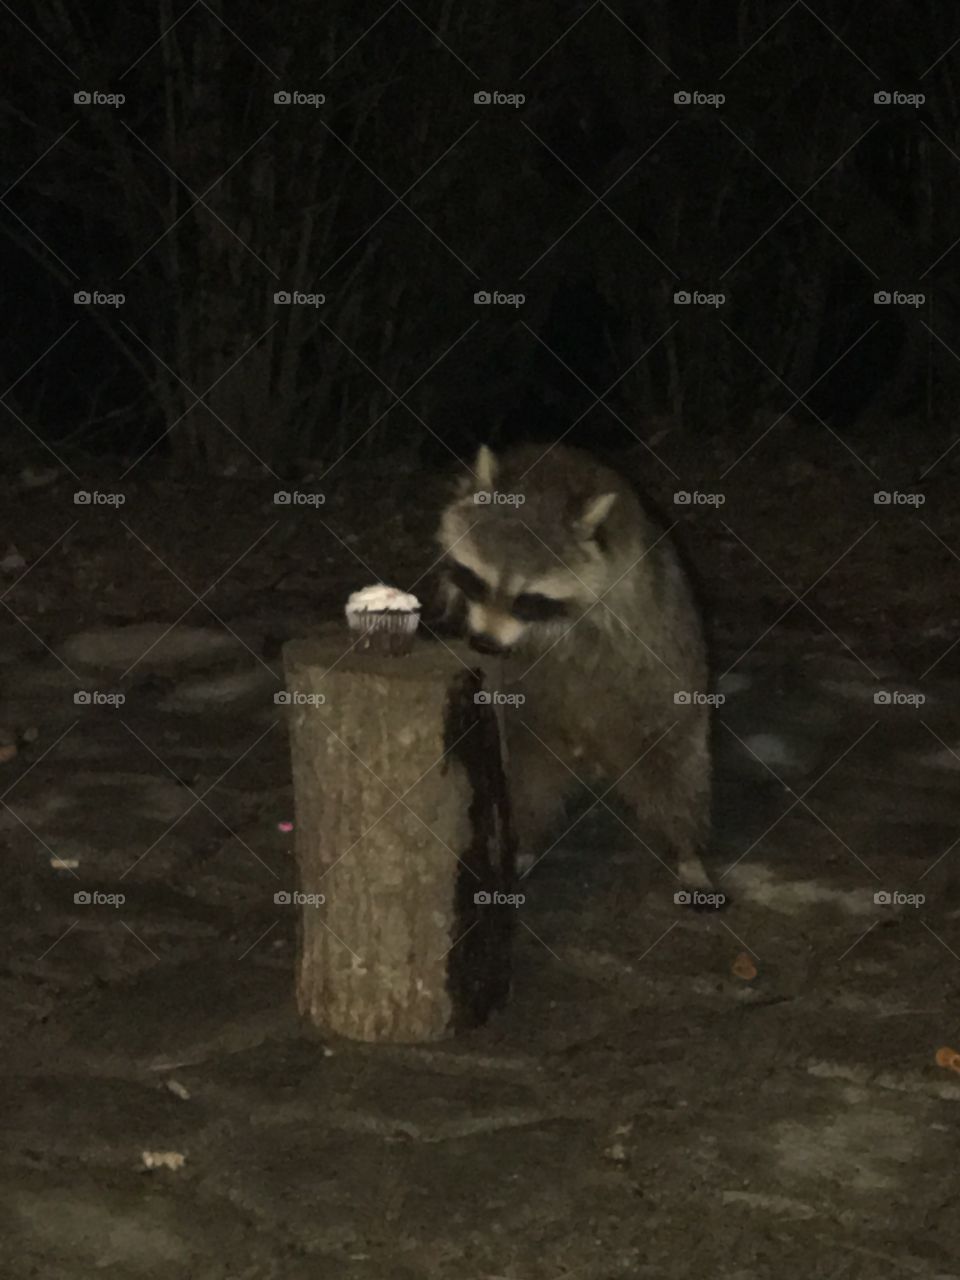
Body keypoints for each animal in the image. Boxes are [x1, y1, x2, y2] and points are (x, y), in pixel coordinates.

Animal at [437, 442, 718, 903]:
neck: (546, 481)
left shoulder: (623, 578)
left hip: (661, 689)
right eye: (477, 582)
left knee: (676, 766)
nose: (486, 644)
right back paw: (524, 844)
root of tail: (596, 753)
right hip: (536, 728)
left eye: (528, 600)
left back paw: (686, 850)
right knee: (527, 782)